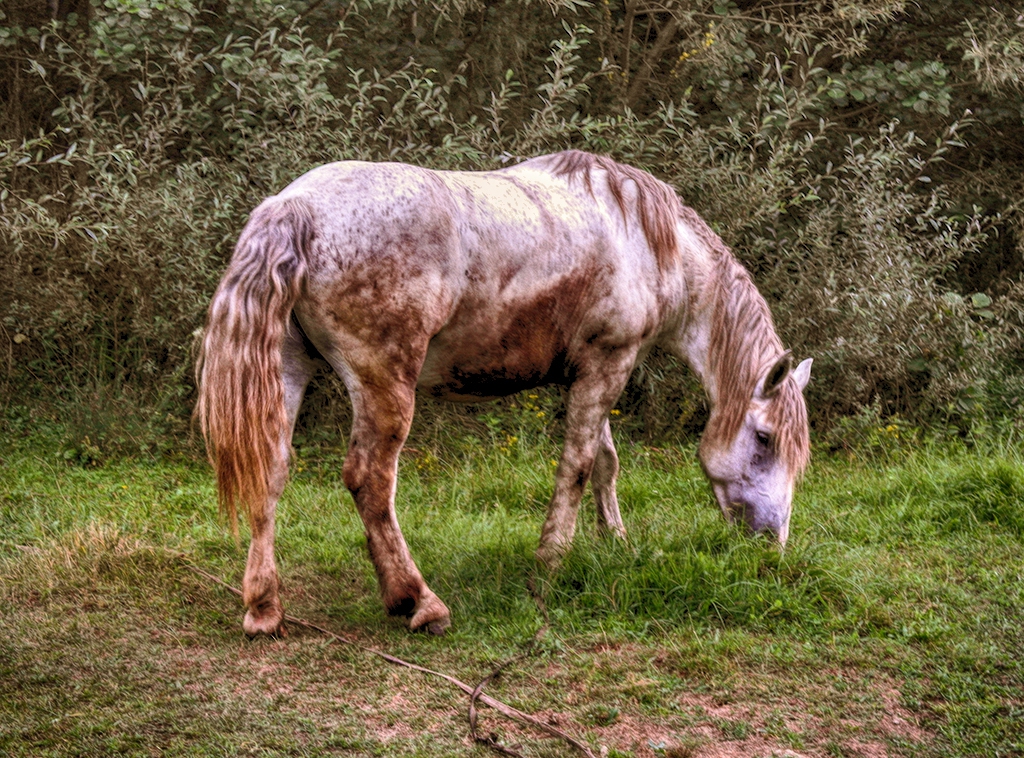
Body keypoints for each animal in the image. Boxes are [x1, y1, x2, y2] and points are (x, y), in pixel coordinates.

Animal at [195, 150, 811, 635]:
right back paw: (418, 601)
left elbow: (605, 462)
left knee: (271, 469)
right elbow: (578, 467)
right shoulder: (608, 365)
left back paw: (264, 608)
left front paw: (616, 542)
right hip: (383, 384)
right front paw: (550, 564)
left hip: (288, 368)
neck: (643, 238)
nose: (771, 546)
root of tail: (295, 206)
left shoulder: (591, 372)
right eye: (764, 438)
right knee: (370, 480)